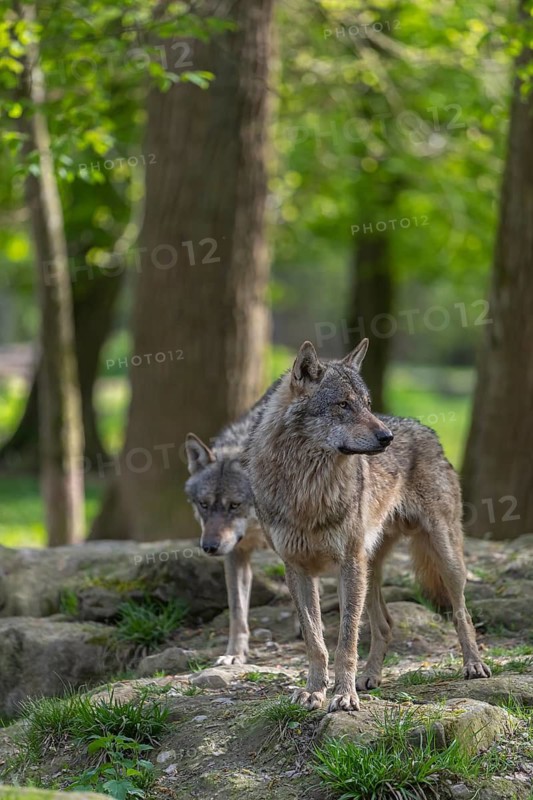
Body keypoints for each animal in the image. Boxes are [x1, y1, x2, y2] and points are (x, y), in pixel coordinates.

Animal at [184, 382, 282, 665]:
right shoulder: (235, 555)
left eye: (235, 505)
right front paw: (234, 654)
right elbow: (237, 610)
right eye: (204, 504)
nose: (209, 546)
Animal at [246, 338, 491, 713]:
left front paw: (344, 695)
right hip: (370, 566)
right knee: (386, 625)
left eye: (368, 404)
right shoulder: (297, 568)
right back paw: (371, 677)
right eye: (343, 404)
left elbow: (346, 641)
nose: (387, 437)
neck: (308, 488)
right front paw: (314, 692)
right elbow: (316, 641)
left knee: (461, 613)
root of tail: (423, 426)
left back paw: (473, 665)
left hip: (442, 557)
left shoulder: (348, 563)